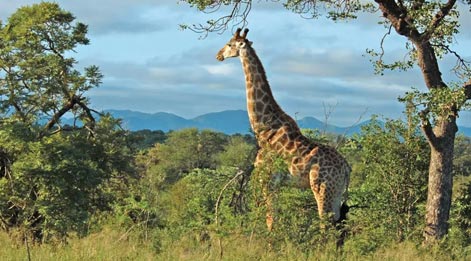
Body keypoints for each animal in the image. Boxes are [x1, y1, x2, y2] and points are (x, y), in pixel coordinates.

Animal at [217, 27, 350, 230]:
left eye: (230, 44)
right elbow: (274, 218)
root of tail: (346, 168)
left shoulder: (268, 180)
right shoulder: (277, 184)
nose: (218, 55)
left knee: (325, 224)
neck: (264, 127)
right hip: (337, 192)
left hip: (322, 188)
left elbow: (270, 219)